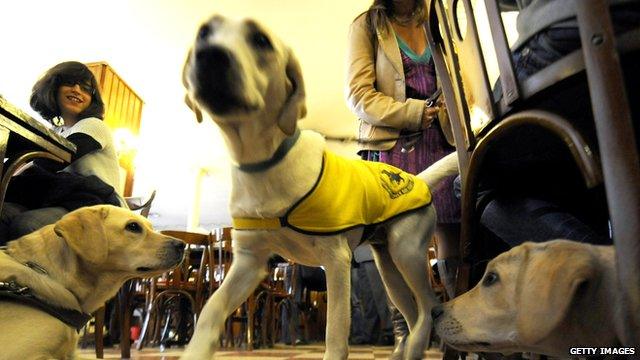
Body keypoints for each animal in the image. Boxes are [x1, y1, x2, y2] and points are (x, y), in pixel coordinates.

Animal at [181, 16, 460, 360]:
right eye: (204, 32)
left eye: (260, 40)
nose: (210, 55)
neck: (266, 163)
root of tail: (418, 179)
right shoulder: (248, 262)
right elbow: (210, 309)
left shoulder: (336, 261)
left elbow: (335, 332)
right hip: (388, 266)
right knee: (412, 313)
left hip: (407, 251)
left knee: (429, 307)